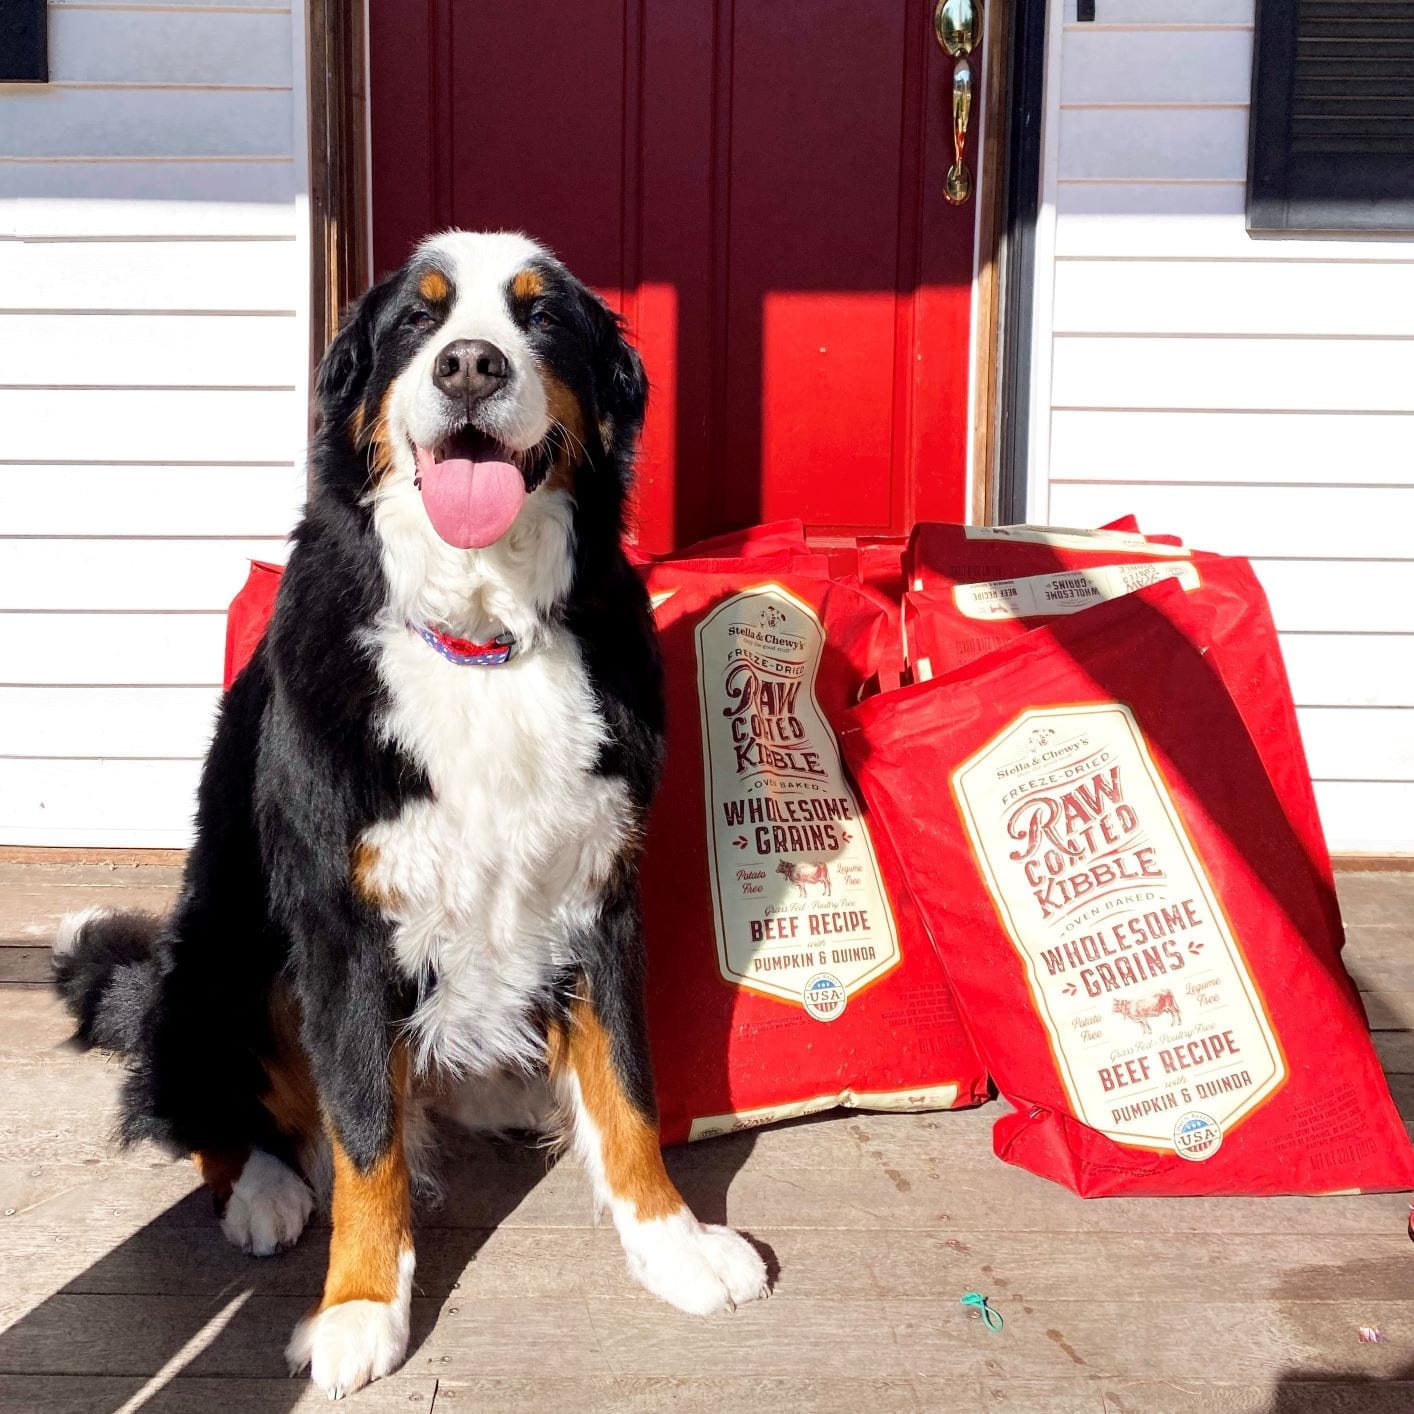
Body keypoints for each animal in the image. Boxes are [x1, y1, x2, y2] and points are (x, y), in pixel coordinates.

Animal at [55, 229, 769, 1391]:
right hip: (220, 948)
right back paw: (263, 1186)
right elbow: (363, 1132)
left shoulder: (599, 896)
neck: (482, 636)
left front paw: (672, 1242)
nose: (471, 366)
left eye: (538, 317)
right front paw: (358, 1304)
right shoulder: (345, 927)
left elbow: (629, 1090)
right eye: (417, 322)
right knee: (196, 1098)